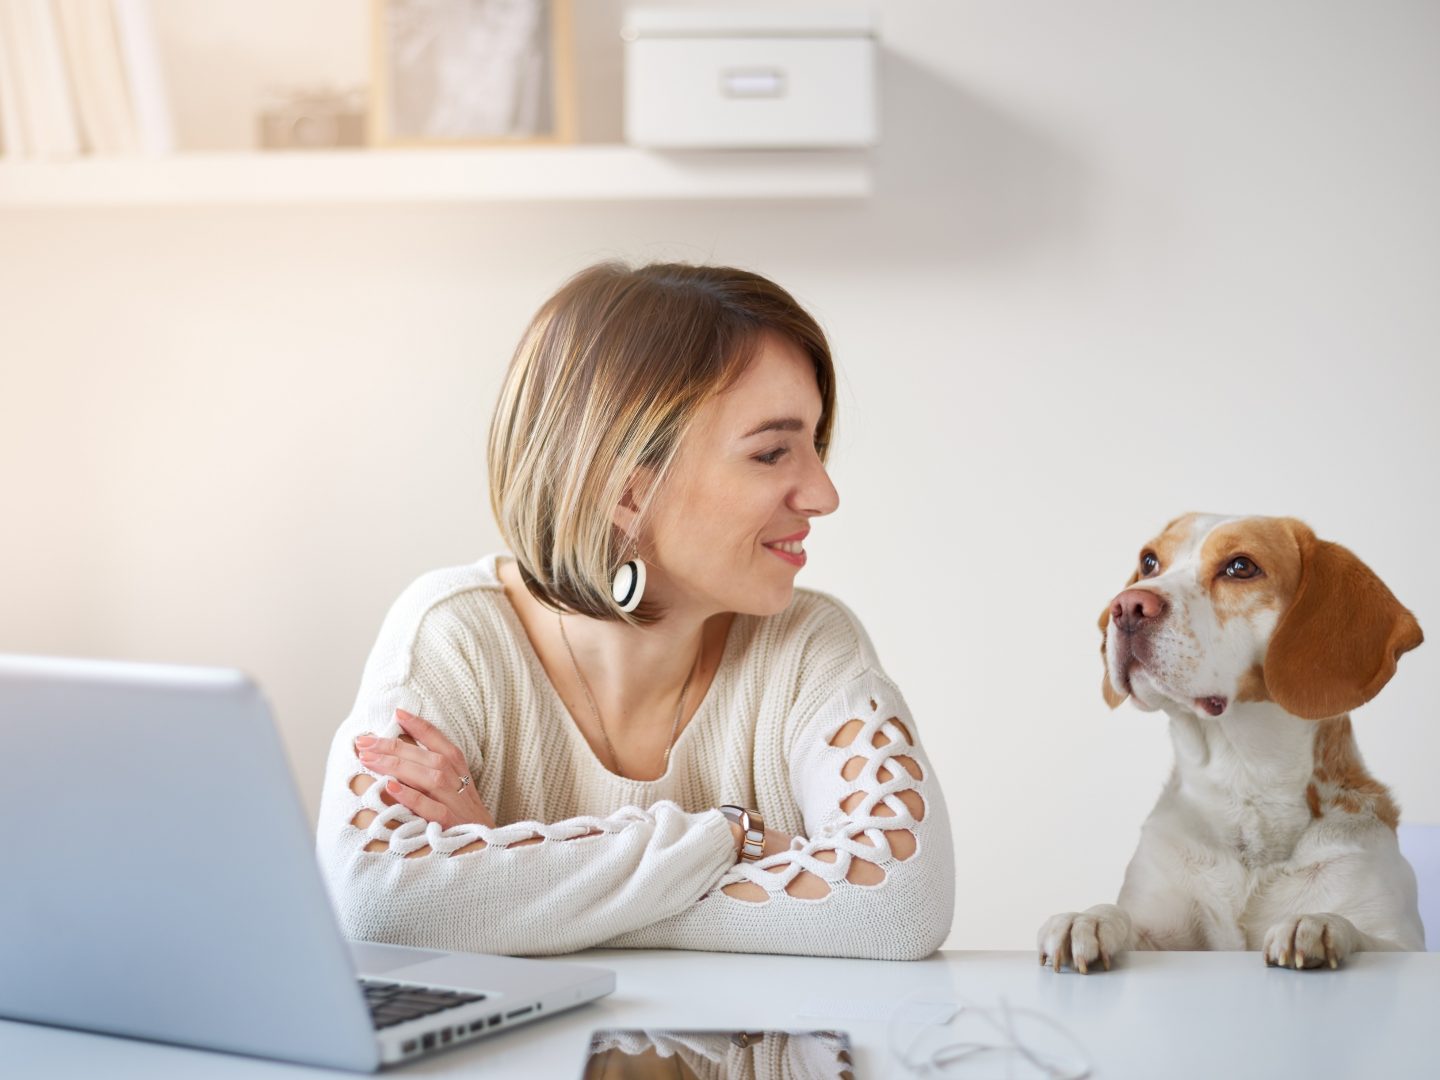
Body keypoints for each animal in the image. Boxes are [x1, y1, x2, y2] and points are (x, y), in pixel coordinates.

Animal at [1039, 513, 1425, 972]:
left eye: (1241, 567)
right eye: (1149, 561)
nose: (1127, 605)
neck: (1243, 784)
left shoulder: (1401, 940)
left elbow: (1360, 934)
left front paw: (1316, 923)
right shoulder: (1161, 927)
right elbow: (1122, 918)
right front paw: (1088, 918)